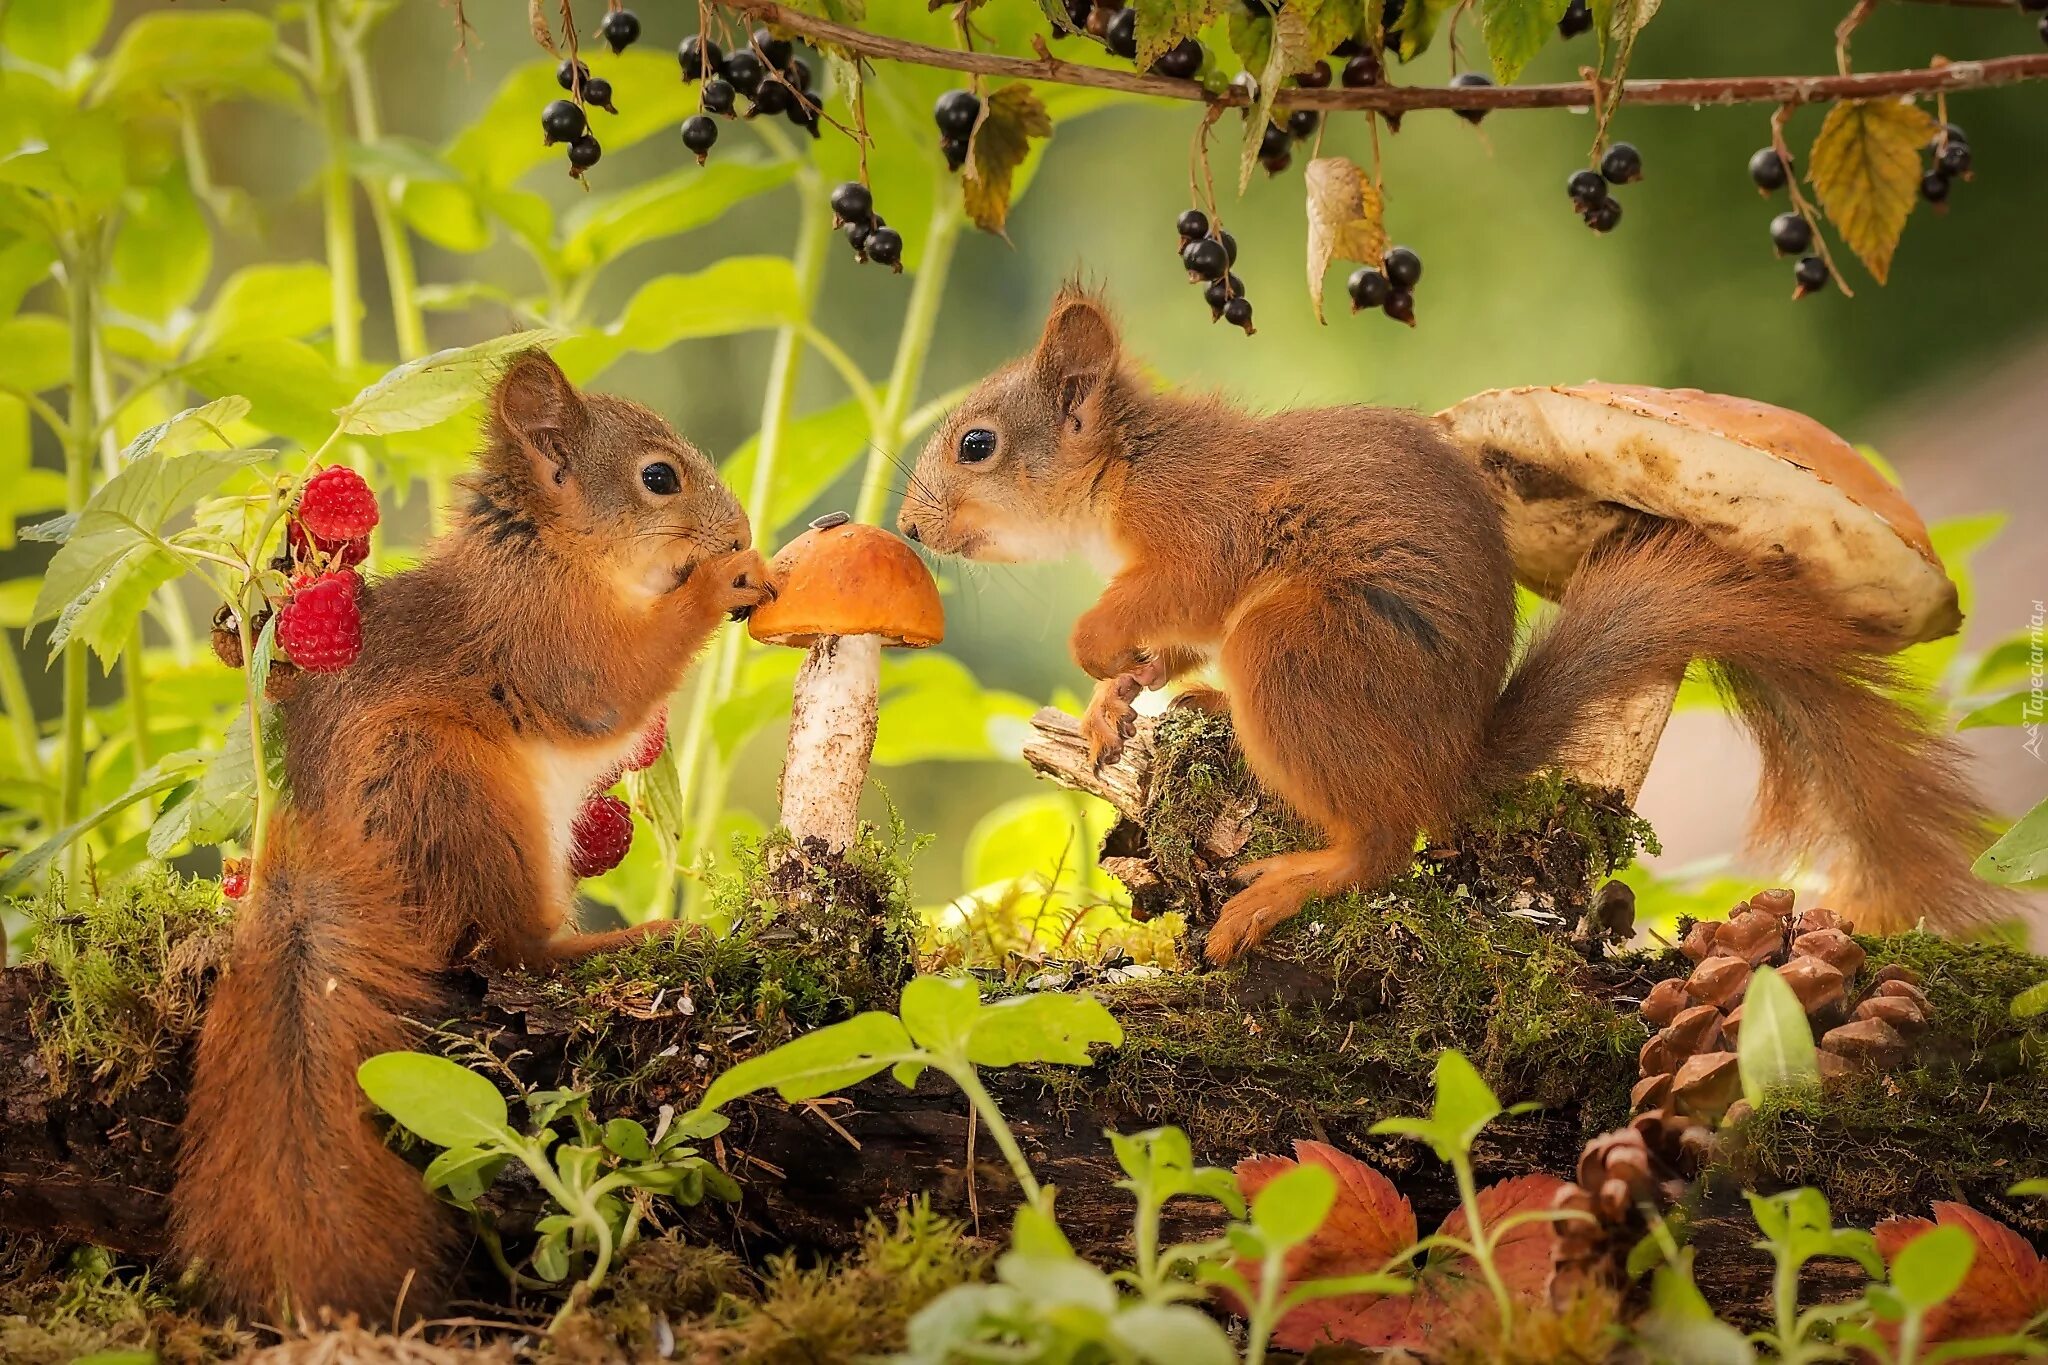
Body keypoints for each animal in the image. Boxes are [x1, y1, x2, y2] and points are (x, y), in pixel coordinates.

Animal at [165, 349, 774, 1326]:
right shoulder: (545, 634)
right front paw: (726, 582)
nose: (739, 530)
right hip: (454, 791)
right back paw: (634, 937)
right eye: (659, 478)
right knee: (513, 949)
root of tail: (319, 858)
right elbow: (612, 682)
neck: (549, 552)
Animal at [905, 290, 2007, 961]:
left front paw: (1094, 651)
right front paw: (1108, 704)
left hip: (1298, 652)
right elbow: (1164, 642)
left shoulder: (1201, 529)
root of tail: (1453, 758)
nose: (911, 529)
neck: (1123, 468)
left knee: (1384, 842)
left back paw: (1288, 883)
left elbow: (1168, 598)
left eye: (976, 445)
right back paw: (1208, 703)